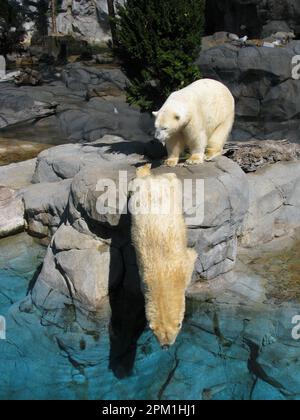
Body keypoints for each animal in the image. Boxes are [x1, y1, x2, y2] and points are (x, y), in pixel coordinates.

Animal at [131, 164, 197, 348]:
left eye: (172, 335)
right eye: (158, 335)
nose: (166, 347)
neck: (163, 279)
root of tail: (152, 181)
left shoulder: (183, 267)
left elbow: (192, 256)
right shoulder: (143, 279)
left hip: (169, 188)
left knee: (171, 179)